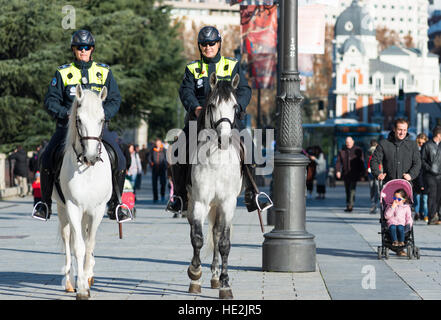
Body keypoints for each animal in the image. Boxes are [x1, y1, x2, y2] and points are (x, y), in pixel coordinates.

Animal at [55, 85, 111, 300]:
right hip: (62, 210)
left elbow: (90, 245)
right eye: (78, 119)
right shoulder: (73, 207)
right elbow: (78, 247)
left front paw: (86, 279)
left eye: (102, 119)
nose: (91, 156)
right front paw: (81, 288)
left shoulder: (98, 210)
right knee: (68, 240)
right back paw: (70, 282)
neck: (87, 170)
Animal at [185, 73, 242, 300]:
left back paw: (217, 276)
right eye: (212, 105)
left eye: (235, 106)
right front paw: (195, 275)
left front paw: (225, 285)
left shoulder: (227, 203)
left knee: (217, 234)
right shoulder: (200, 202)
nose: (224, 139)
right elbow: (197, 239)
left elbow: (224, 243)